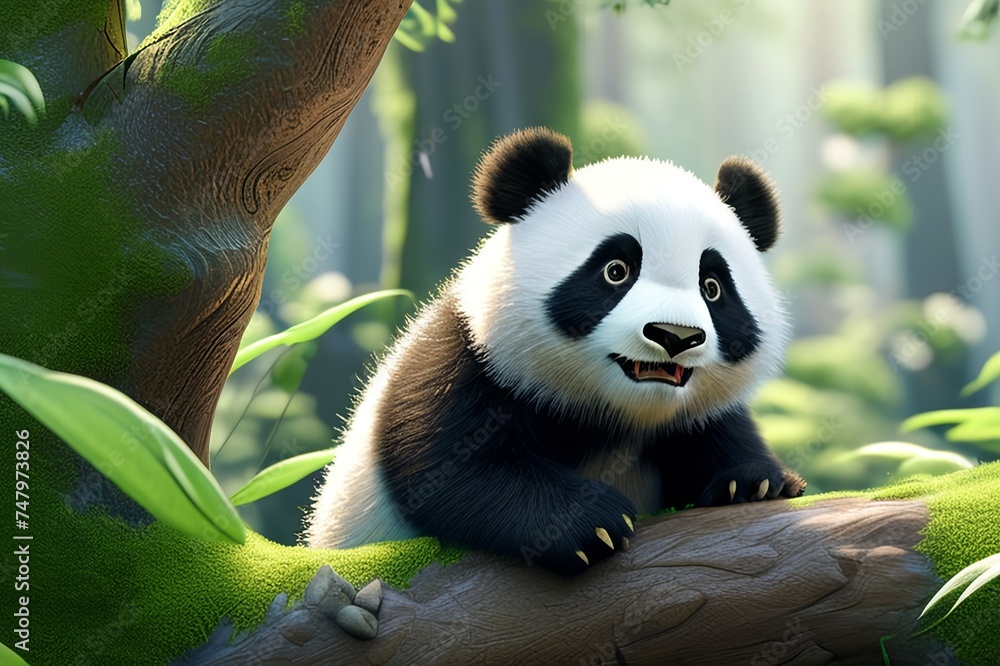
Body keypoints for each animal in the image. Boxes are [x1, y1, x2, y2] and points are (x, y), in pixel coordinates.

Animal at [305, 127, 805, 576]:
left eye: (713, 287)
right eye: (615, 270)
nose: (674, 336)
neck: (616, 417)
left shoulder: (693, 416)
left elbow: (721, 432)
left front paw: (754, 481)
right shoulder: (467, 362)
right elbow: (449, 469)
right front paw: (589, 522)